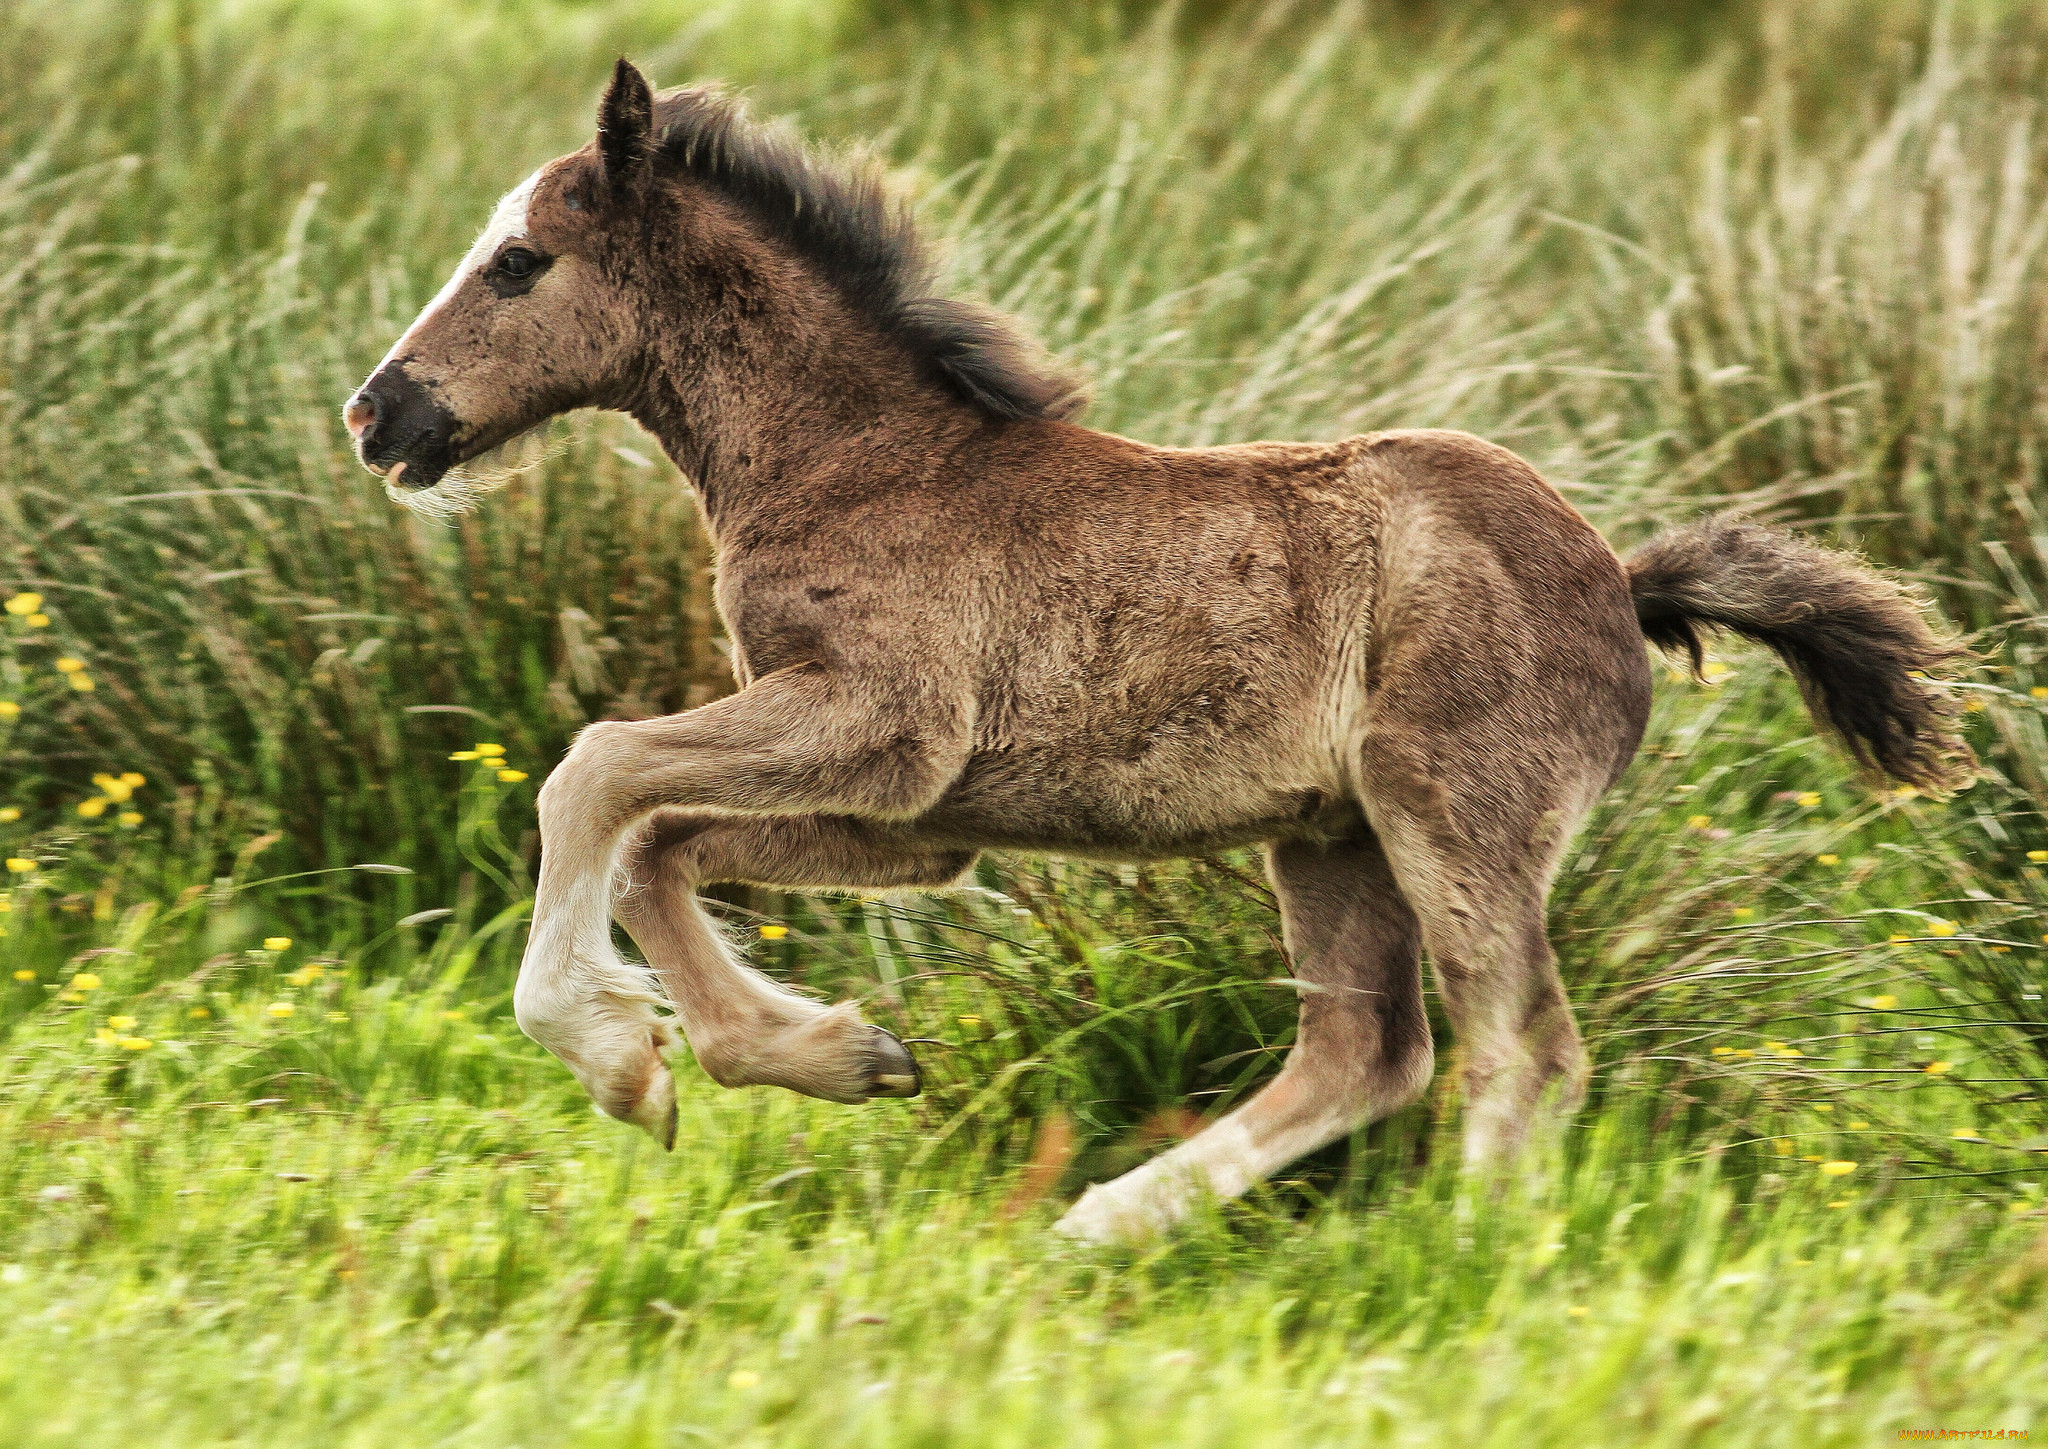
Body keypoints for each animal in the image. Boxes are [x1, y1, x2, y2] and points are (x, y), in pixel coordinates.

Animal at [344, 64, 1974, 1244]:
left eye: (517, 262)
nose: (378, 415)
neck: (856, 462)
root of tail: (1618, 578)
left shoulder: (881, 725)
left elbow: (595, 775)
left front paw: (619, 1059)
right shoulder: (917, 815)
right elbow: (653, 844)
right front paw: (837, 1058)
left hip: (1451, 815)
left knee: (1522, 1042)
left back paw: (1462, 1259)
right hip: (1331, 840)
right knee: (1371, 1050)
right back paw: (1105, 1224)